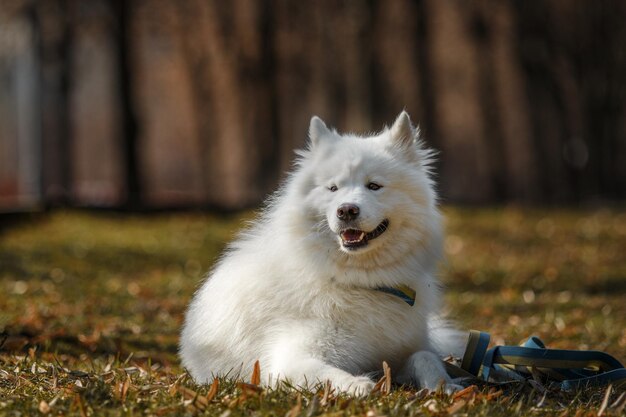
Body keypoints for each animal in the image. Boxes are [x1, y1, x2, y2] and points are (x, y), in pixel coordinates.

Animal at [178, 110, 460, 394]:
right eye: (333, 188)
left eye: (374, 186)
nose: (346, 210)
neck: (359, 281)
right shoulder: (289, 362)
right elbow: (330, 375)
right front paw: (360, 385)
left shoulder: (403, 351)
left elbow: (426, 357)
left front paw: (445, 386)